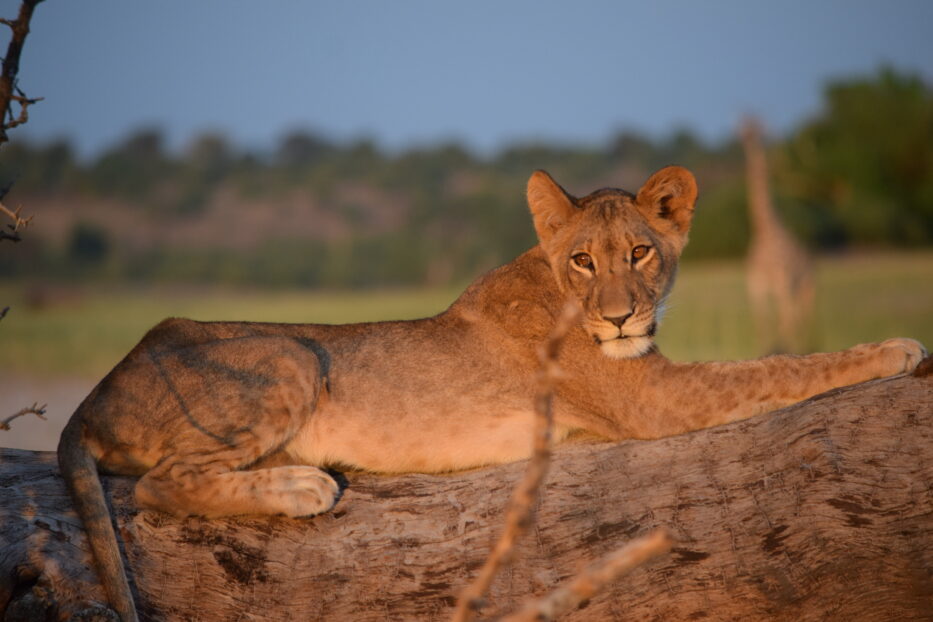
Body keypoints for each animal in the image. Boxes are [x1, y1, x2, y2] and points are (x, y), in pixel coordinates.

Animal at [58, 167, 924, 622]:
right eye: (584, 259)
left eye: (640, 251)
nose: (619, 315)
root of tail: (96, 391)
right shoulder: (655, 401)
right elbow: (778, 367)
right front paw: (897, 348)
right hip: (287, 351)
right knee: (157, 486)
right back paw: (303, 486)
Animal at [740, 114, 812, 354]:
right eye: (743, 126)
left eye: (758, 127)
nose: (746, 136)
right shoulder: (756, 288)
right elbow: (763, 326)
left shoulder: (782, 285)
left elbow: (783, 323)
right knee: (792, 320)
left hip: (806, 286)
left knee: (799, 319)